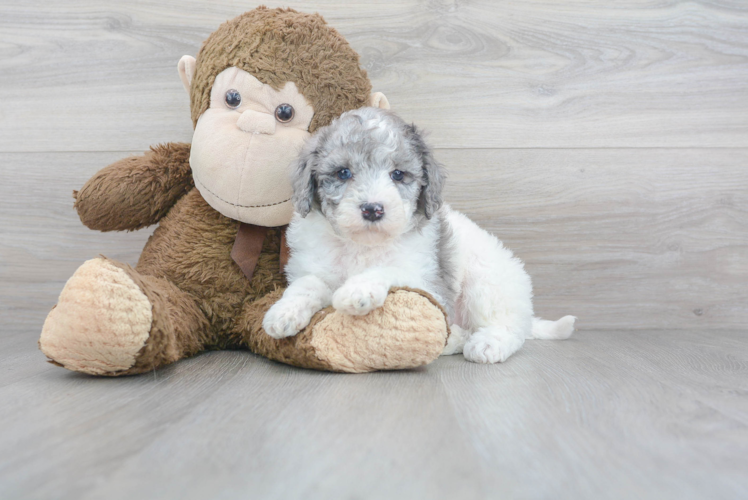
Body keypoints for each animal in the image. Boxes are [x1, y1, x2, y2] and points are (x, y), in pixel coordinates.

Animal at [260, 106, 576, 364]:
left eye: (398, 175)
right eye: (343, 173)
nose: (373, 209)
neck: (362, 246)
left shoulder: (428, 282)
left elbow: (389, 269)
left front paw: (358, 290)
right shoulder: (314, 265)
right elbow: (308, 283)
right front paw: (284, 312)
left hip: (487, 283)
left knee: (508, 327)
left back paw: (487, 343)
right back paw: (454, 339)